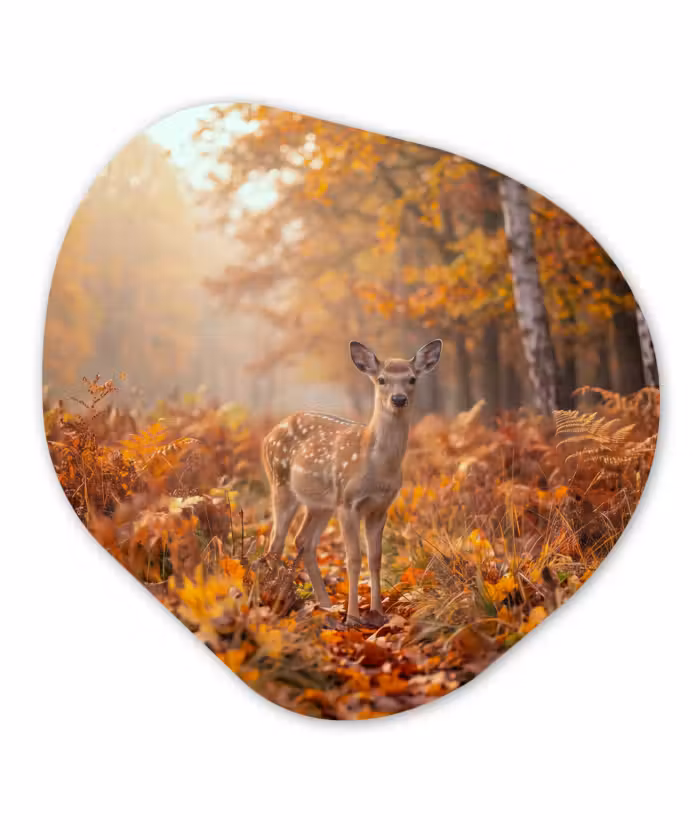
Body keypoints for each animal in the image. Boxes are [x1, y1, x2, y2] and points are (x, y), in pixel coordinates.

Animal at [262, 339, 442, 626]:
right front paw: (353, 617)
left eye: (412, 379)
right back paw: (274, 602)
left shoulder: (380, 507)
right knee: (276, 543)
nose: (398, 399)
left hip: (321, 504)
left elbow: (376, 558)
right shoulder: (348, 503)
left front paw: (377, 613)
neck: (376, 467)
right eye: (381, 379)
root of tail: (268, 435)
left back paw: (325, 606)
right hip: (281, 484)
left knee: (303, 541)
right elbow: (354, 558)